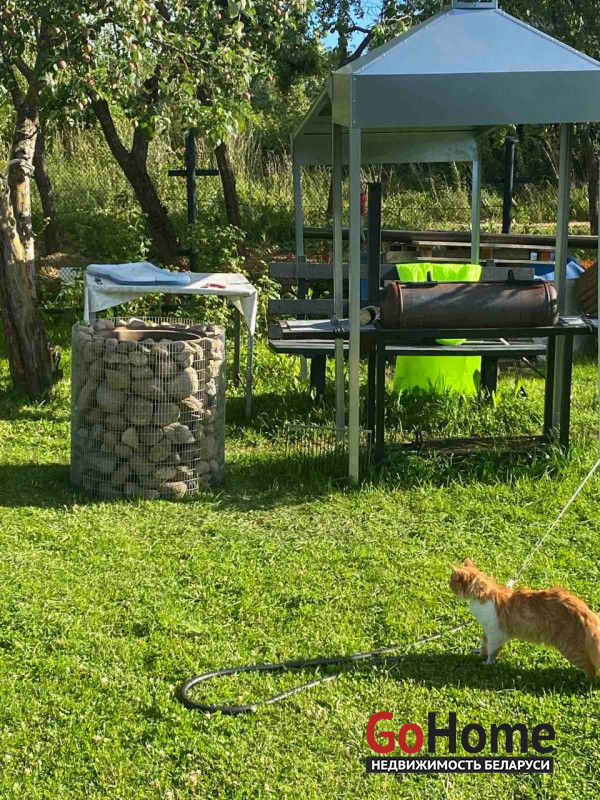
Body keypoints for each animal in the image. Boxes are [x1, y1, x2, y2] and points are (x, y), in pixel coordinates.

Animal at [450, 558, 600, 679]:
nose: (448, 585)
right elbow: (484, 645)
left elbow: (492, 652)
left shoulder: (496, 634)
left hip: (571, 649)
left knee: (591, 668)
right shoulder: (487, 630)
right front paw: (479, 655)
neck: (483, 595)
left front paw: (487, 664)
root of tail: (584, 609)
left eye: (451, 581)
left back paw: (584, 682)